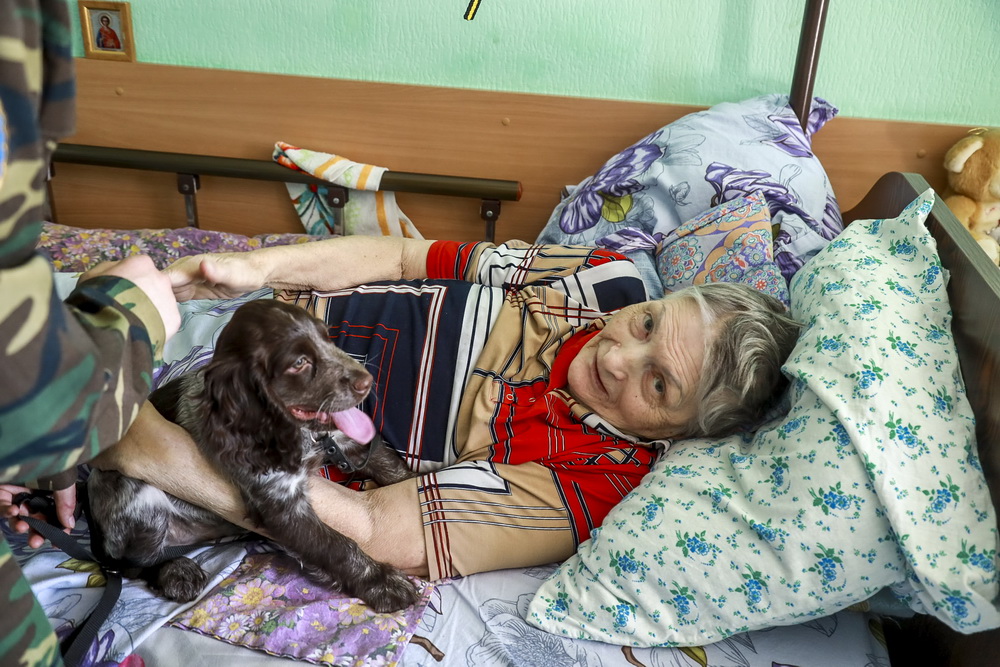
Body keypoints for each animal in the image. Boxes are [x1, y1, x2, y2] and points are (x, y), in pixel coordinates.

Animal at [87, 299, 419, 612]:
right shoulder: (282, 506)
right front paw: (383, 583)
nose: (367, 381)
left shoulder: (342, 441)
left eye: (328, 339)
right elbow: (337, 546)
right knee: (128, 565)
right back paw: (175, 571)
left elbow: (392, 470)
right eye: (299, 363)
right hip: (142, 499)